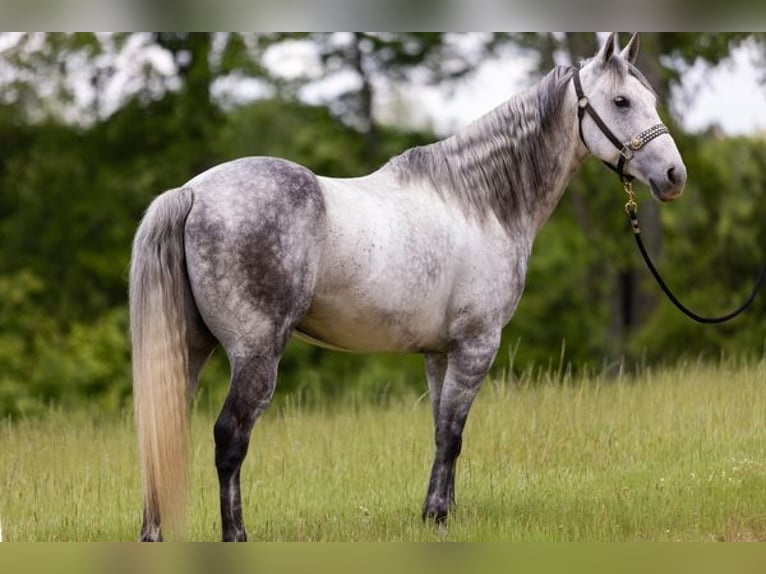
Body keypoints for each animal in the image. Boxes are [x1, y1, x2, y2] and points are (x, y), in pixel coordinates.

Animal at [129, 33, 688, 544]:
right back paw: (236, 535)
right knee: (230, 437)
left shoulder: (440, 352)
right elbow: (454, 433)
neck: (478, 202)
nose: (674, 175)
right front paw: (437, 515)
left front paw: (440, 513)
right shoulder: (477, 344)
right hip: (254, 354)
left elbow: (442, 429)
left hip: (188, 349)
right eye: (622, 101)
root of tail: (192, 193)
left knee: (163, 428)